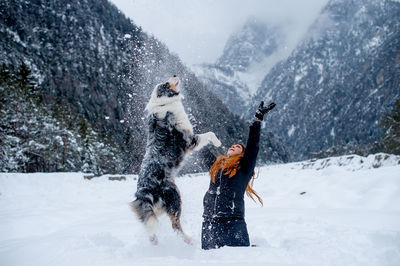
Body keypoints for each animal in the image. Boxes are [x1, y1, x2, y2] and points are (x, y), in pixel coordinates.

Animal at [130, 76, 220, 244]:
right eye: (166, 84)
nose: (174, 74)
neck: (163, 103)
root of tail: (143, 191)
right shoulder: (190, 140)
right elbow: (210, 133)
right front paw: (218, 143)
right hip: (175, 196)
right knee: (175, 226)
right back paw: (189, 240)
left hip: (153, 210)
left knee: (150, 225)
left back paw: (155, 242)